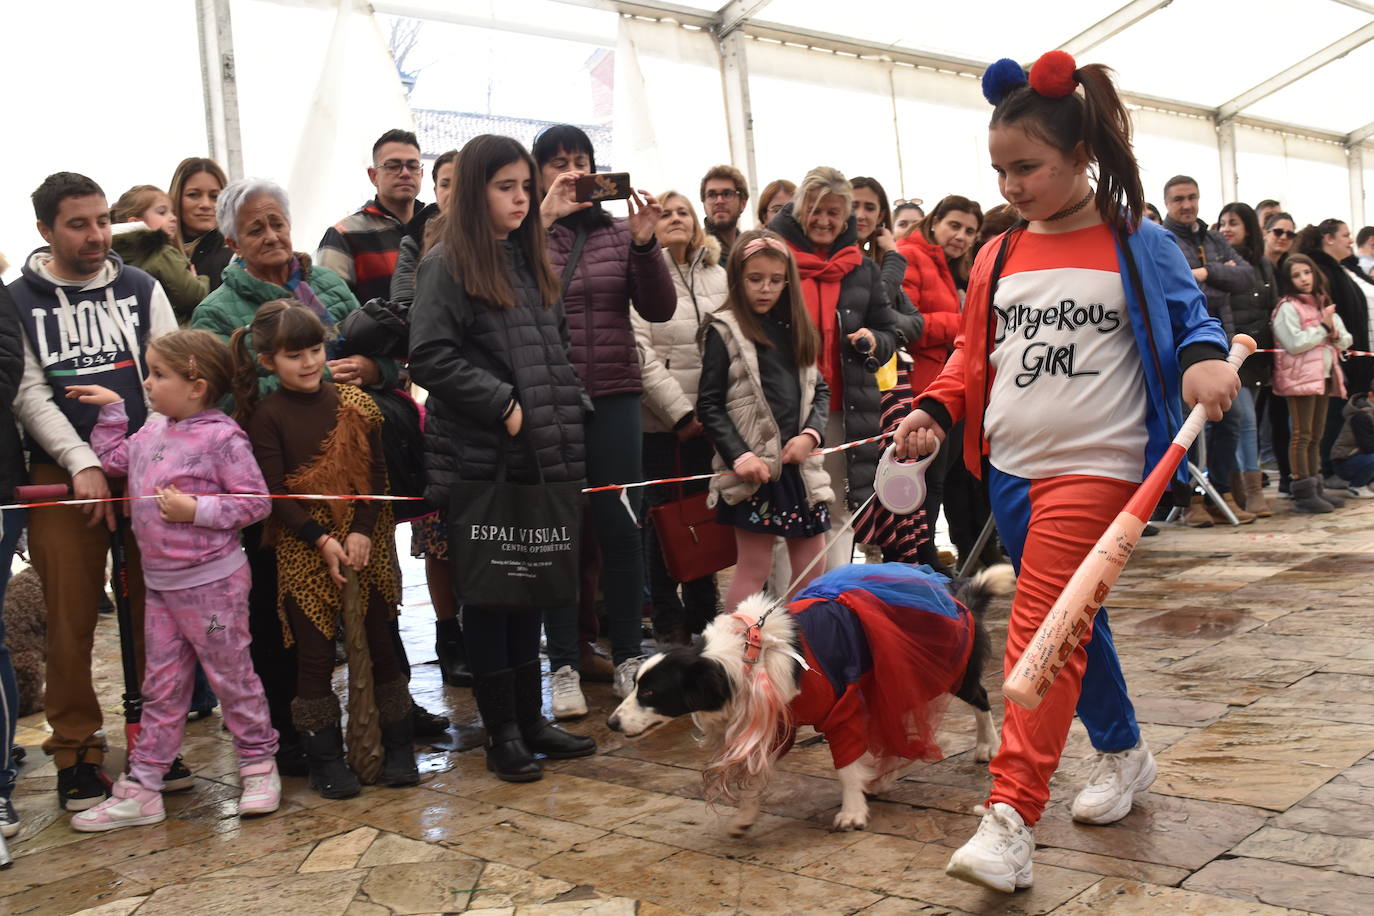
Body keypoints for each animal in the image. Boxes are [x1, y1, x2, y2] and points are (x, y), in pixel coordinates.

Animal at [607, 563, 1016, 834]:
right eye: (636, 685)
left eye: (650, 691)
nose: (611, 723)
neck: (745, 659)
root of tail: (954, 596)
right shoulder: (775, 722)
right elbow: (755, 772)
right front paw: (746, 814)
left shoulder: (840, 707)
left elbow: (845, 763)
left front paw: (852, 811)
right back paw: (884, 777)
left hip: (942, 671)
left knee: (980, 698)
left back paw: (987, 745)